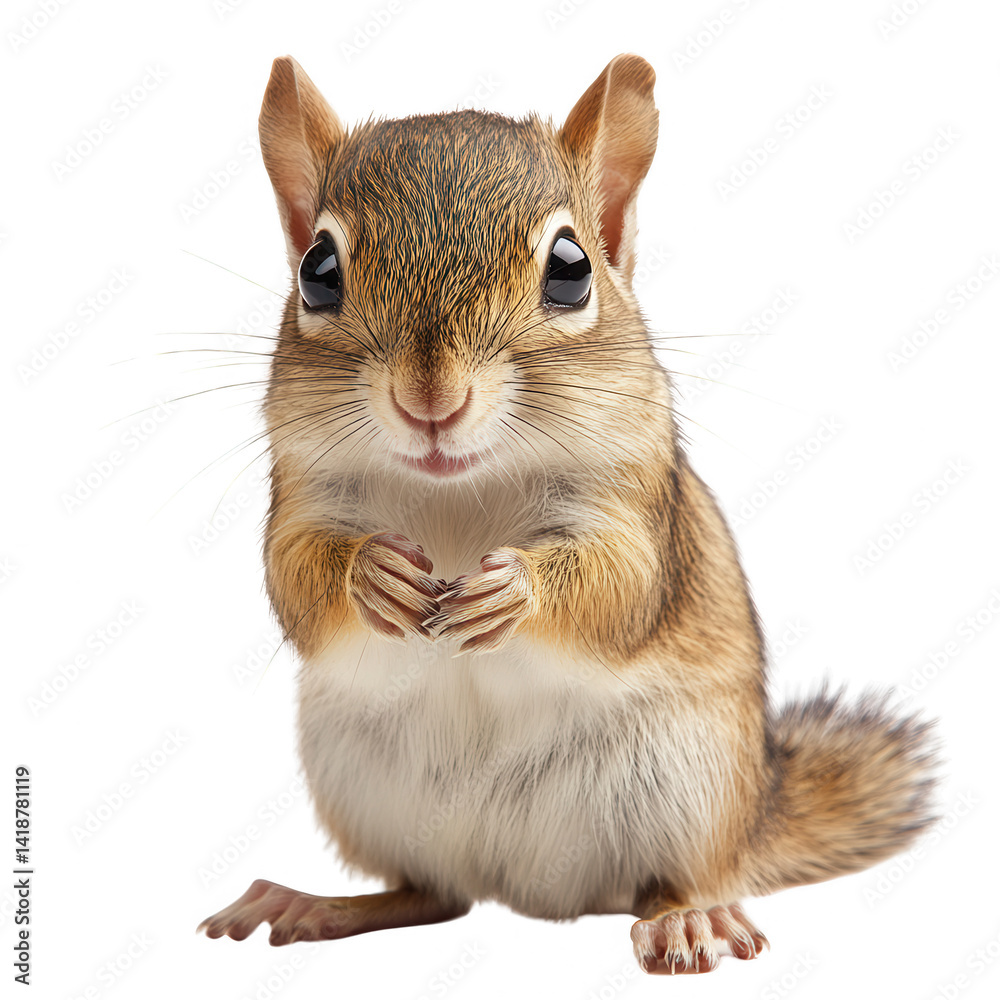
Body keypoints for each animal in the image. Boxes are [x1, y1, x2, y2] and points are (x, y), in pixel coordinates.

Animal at [198, 53, 938, 975]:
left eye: (571, 269)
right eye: (318, 271)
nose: (430, 399)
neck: (456, 490)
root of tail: (536, 891)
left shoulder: (638, 509)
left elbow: (621, 585)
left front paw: (511, 591)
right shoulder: (302, 493)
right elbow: (293, 575)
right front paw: (374, 574)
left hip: (692, 792)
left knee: (682, 878)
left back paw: (687, 920)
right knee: (427, 894)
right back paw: (314, 903)